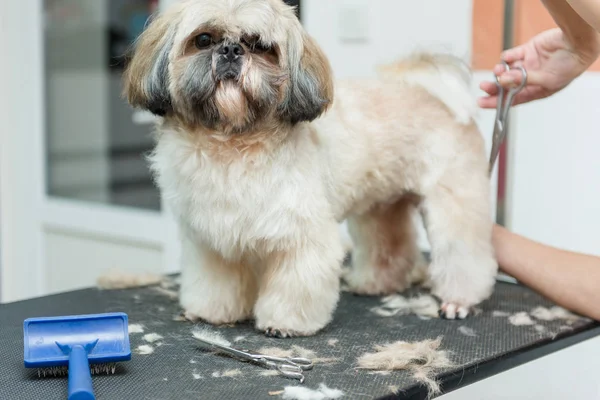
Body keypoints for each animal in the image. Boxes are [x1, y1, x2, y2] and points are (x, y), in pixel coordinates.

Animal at [122, 0, 496, 338]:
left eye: (260, 45)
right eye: (203, 39)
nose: (230, 50)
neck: (233, 144)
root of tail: (431, 93)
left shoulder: (302, 234)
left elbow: (295, 283)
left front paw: (284, 323)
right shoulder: (211, 240)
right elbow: (215, 281)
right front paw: (212, 312)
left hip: (454, 200)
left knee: (465, 252)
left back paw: (459, 299)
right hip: (380, 206)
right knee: (392, 245)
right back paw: (375, 283)